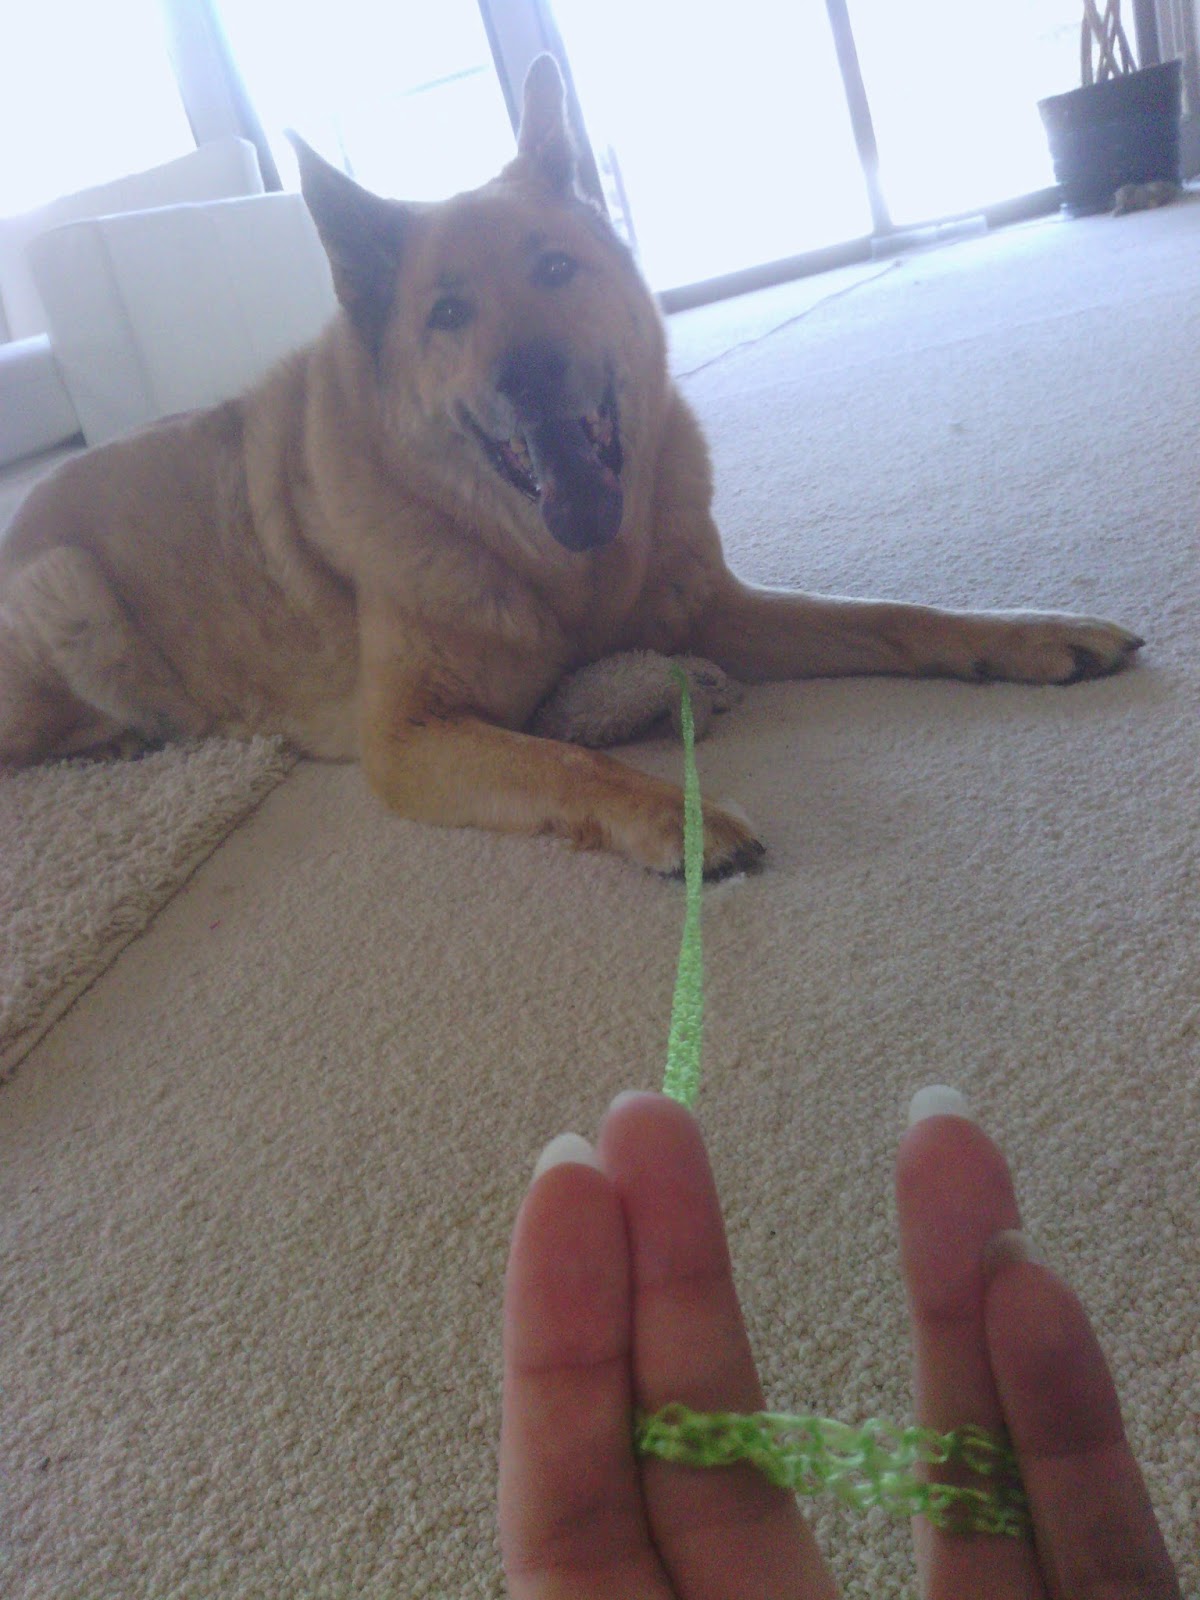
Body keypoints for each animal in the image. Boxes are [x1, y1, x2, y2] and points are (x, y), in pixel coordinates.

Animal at [0, 56, 1145, 876]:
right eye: (446, 315)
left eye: (556, 267)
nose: (529, 372)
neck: (568, 572)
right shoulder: (409, 738)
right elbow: (562, 754)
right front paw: (672, 818)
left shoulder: (710, 611)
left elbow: (894, 616)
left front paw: (1025, 636)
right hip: (67, 590)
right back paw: (127, 742)